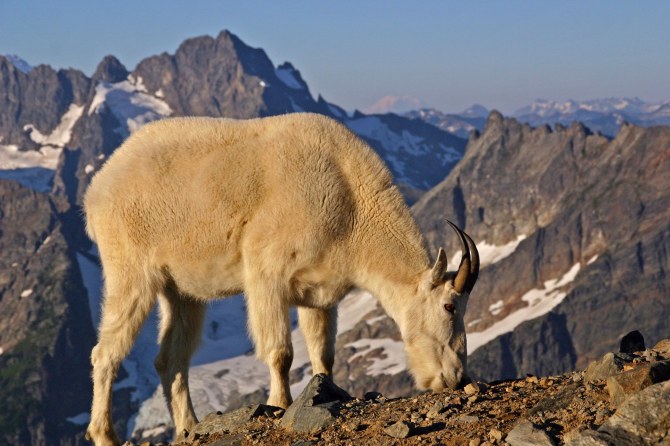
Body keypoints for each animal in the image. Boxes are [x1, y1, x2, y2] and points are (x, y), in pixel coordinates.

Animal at [83, 113, 479, 445]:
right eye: (449, 306)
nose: (456, 378)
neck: (350, 202)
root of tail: (97, 188)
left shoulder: (318, 292)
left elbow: (323, 352)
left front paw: (325, 390)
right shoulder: (267, 275)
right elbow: (280, 351)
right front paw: (279, 402)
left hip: (181, 290)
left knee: (170, 359)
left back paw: (187, 427)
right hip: (130, 271)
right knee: (106, 352)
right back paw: (105, 434)